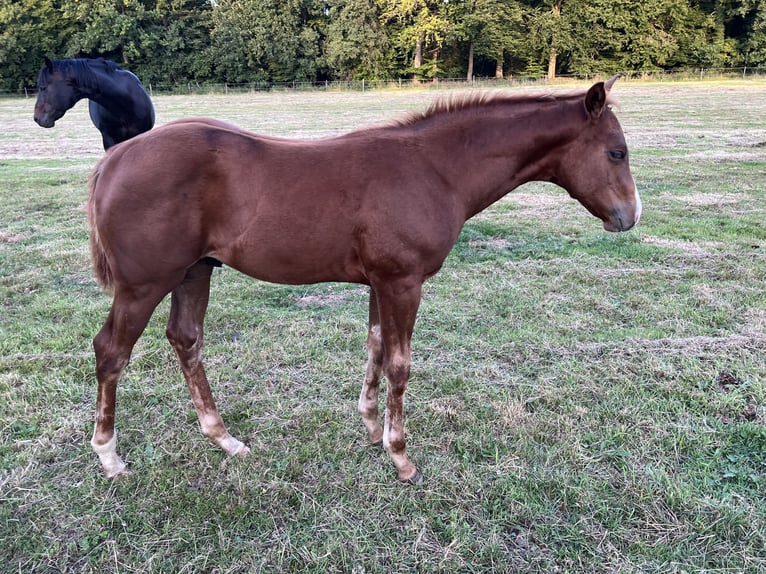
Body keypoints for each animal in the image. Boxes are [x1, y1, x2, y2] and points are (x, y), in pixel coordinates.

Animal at [86, 76, 641, 484]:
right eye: (617, 152)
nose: (630, 216)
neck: (435, 168)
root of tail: (115, 158)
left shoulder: (379, 282)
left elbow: (374, 346)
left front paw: (373, 429)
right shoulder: (403, 282)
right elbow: (399, 363)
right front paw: (401, 457)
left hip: (194, 271)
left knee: (186, 339)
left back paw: (224, 438)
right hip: (144, 284)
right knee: (111, 350)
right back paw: (109, 457)